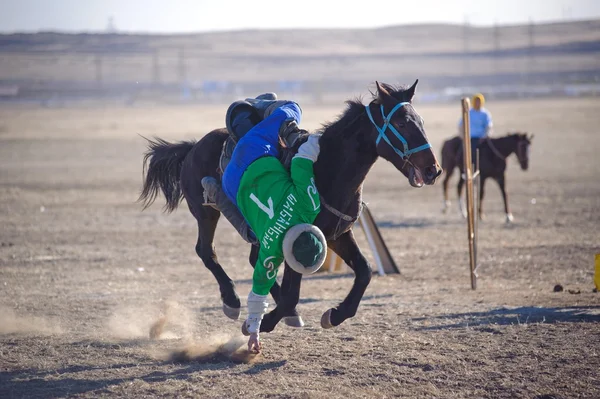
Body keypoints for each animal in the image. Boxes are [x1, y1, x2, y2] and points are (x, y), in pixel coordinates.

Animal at [139, 79, 440, 334]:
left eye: (421, 121)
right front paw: (265, 321)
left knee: (252, 259)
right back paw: (232, 300)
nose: (432, 170)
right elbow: (293, 292)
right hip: (206, 213)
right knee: (206, 251)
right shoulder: (297, 236)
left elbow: (364, 271)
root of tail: (192, 147)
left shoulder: (338, 235)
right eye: (401, 123)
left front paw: (335, 314)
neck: (326, 168)